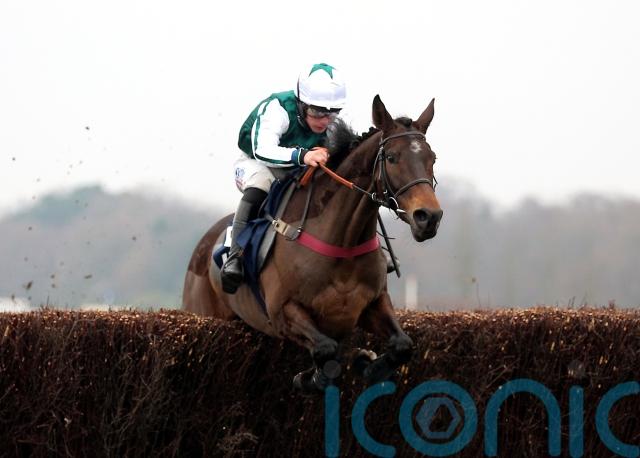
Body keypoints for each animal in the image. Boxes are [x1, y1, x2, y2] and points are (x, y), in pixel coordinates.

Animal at [182, 95, 442, 392]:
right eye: (391, 157)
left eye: (432, 158)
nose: (429, 217)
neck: (344, 244)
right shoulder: (283, 312)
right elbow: (326, 349)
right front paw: (313, 376)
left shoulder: (374, 303)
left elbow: (403, 345)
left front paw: (368, 364)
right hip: (202, 312)